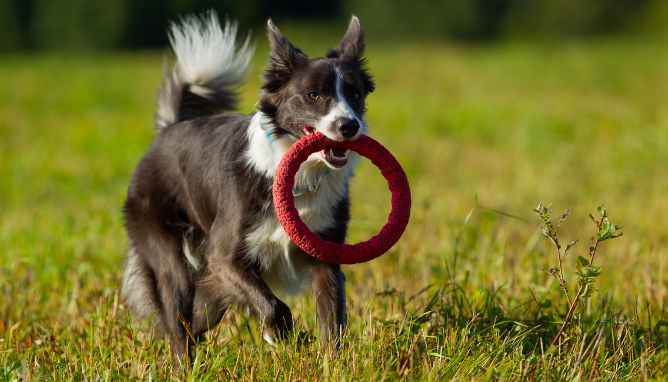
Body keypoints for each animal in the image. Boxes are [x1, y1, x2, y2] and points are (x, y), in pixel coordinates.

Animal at [121, 10, 376, 360]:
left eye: (355, 95)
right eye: (313, 95)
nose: (349, 125)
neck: (298, 176)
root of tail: (168, 129)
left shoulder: (326, 254)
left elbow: (332, 316)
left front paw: (331, 363)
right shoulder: (223, 254)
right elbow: (273, 305)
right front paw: (278, 334)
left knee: (196, 321)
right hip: (172, 257)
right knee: (177, 325)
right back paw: (183, 364)